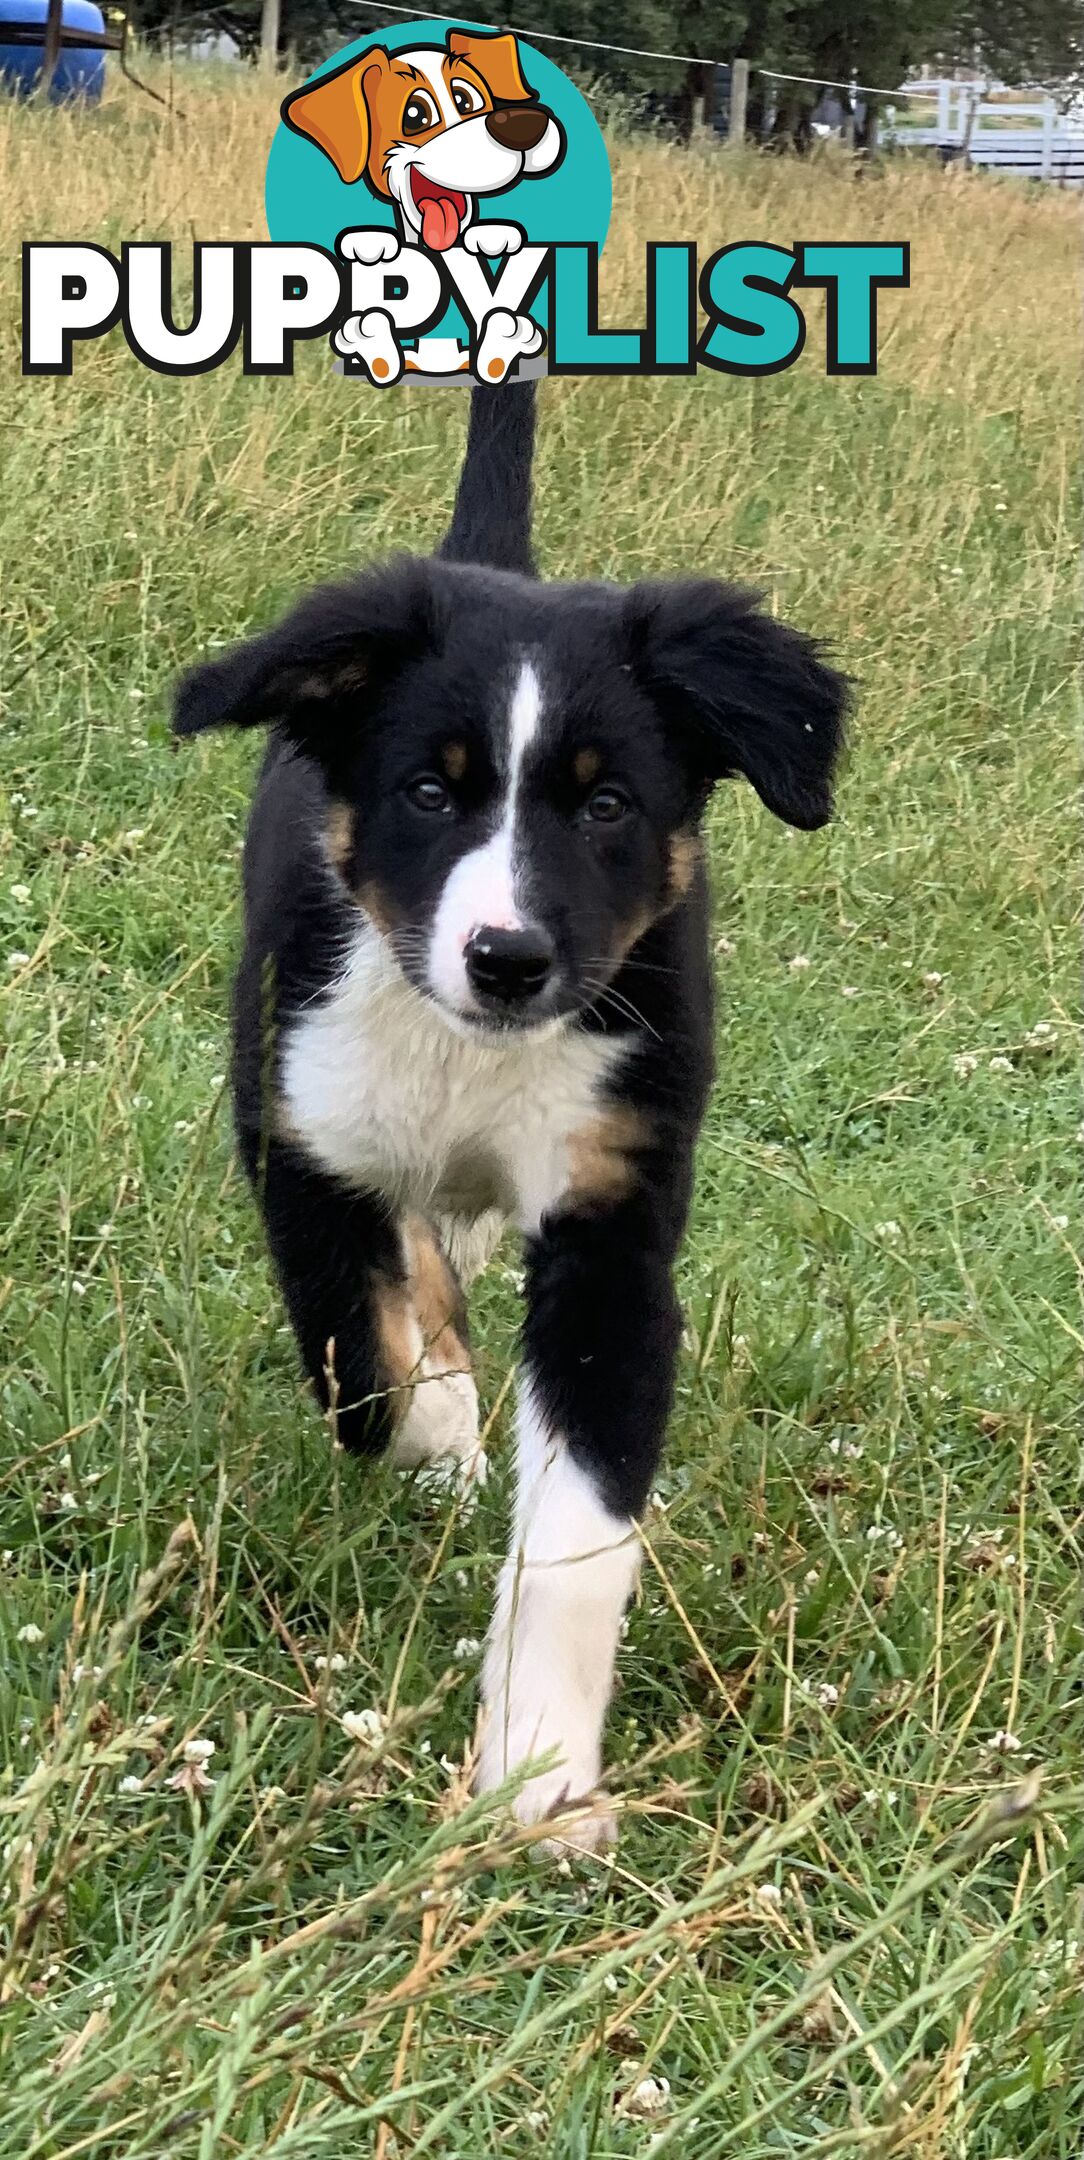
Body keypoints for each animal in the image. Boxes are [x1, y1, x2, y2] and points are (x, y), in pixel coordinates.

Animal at [173, 384, 850, 1840]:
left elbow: (579, 1537)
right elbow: (361, 1359)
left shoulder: (614, 1230)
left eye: (606, 804)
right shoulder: (298, 1138)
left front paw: (537, 1778)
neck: (470, 1054)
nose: (510, 959)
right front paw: (439, 1431)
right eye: (430, 791)